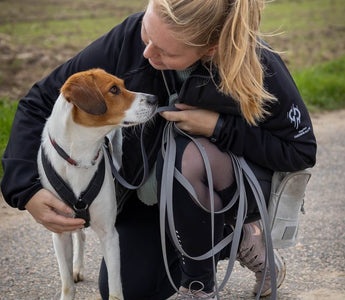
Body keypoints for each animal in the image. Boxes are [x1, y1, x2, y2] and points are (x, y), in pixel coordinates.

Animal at [36, 68, 157, 300]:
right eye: (114, 89)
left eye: (123, 85)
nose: (155, 99)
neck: (81, 156)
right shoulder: (59, 232)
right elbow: (66, 283)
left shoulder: (110, 235)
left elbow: (115, 288)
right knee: (80, 234)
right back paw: (77, 268)